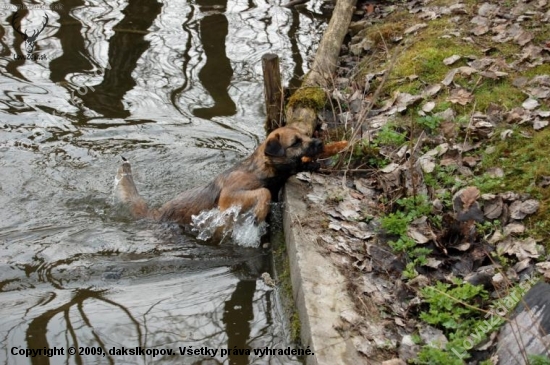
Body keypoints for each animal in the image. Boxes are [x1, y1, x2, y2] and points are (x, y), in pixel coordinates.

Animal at [116, 126, 324, 226]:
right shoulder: (229, 195)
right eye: (296, 142)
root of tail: (155, 213)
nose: (321, 142)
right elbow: (263, 192)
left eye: (307, 135)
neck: (261, 170)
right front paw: (259, 212)